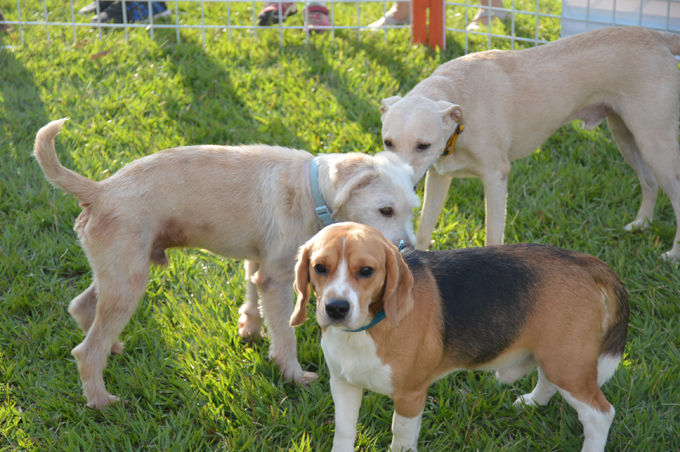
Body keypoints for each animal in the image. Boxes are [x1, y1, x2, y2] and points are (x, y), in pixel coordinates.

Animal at [37, 118, 422, 408]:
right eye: (385, 210)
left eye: (410, 210)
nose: (407, 250)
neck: (310, 190)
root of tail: (99, 191)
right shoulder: (277, 278)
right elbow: (286, 333)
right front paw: (294, 376)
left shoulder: (258, 264)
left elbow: (253, 300)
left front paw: (250, 331)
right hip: (128, 282)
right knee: (87, 350)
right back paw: (101, 401)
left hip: (119, 273)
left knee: (82, 308)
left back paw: (113, 350)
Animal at [290, 222, 628, 452]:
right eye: (320, 268)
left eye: (366, 271)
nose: (336, 308)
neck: (367, 329)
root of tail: (582, 261)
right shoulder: (343, 384)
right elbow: (344, 431)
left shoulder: (410, 396)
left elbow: (400, 436)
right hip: (556, 356)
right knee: (547, 379)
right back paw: (532, 403)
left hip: (568, 364)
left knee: (600, 415)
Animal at [380, 28, 680, 260]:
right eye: (388, 142)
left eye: (423, 145)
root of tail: (658, 36)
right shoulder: (439, 177)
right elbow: (423, 230)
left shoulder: (496, 177)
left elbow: (493, 237)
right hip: (625, 136)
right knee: (649, 182)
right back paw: (642, 224)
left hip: (654, 143)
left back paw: (673, 255)